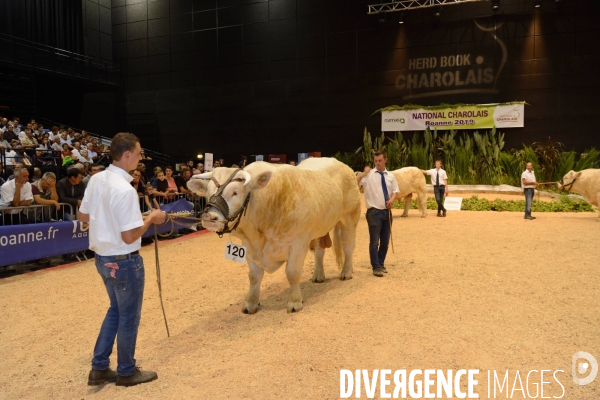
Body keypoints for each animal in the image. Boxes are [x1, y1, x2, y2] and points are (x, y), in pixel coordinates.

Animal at [186, 159, 360, 312]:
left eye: (235, 192)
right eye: (208, 193)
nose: (210, 217)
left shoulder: (298, 242)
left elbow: (292, 273)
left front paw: (295, 302)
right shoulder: (249, 246)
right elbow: (254, 276)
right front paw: (251, 303)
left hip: (349, 218)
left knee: (348, 247)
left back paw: (346, 272)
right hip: (320, 226)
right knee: (319, 251)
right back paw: (318, 275)